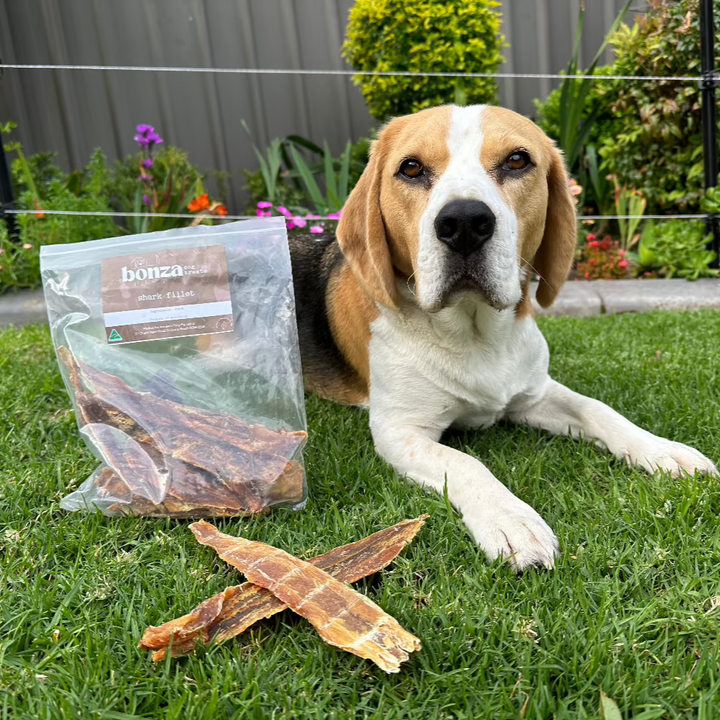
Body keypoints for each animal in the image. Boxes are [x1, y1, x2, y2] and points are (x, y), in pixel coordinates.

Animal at [290, 104, 716, 572]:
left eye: (517, 161)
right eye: (411, 168)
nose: (463, 223)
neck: (475, 336)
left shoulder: (534, 393)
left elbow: (599, 410)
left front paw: (662, 450)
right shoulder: (399, 431)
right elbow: (464, 463)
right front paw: (510, 518)